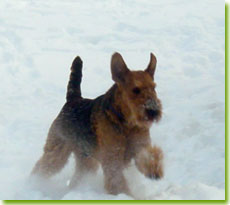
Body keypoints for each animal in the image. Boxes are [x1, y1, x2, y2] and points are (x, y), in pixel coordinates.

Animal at [31, 52, 164, 196]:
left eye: (154, 87)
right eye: (135, 89)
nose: (153, 111)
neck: (126, 123)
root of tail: (73, 99)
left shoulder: (139, 146)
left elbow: (148, 156)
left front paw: (154, 170)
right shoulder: (112, 160)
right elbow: (118, 183)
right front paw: (125, 196)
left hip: (86, 161)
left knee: (75, 178)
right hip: (57, 151)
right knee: (40, 168)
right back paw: (32, 184)